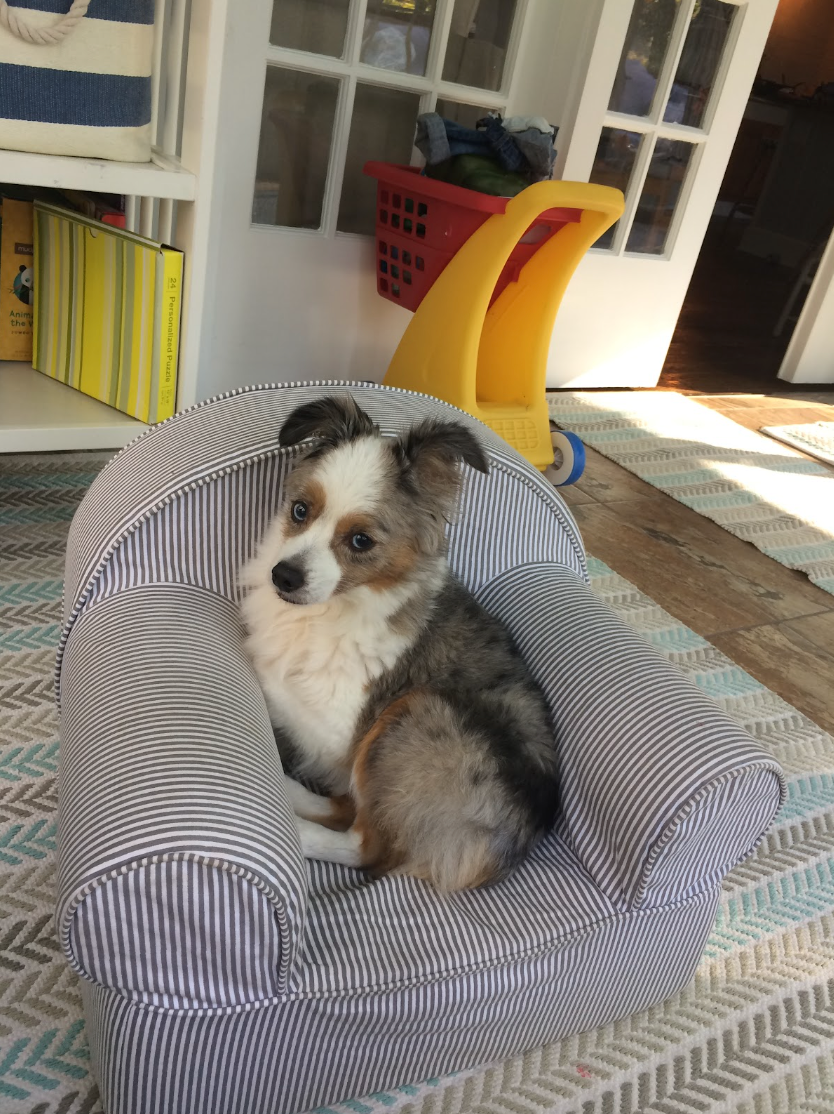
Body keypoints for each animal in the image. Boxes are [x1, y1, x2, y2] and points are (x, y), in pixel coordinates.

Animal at [237, 396, 556, 891]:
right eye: (300, 510)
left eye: (360, 540)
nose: (283, 577)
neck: (328, 611)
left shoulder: (333, 733)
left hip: (412, 715)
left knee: (367, 842)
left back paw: (294, 825)